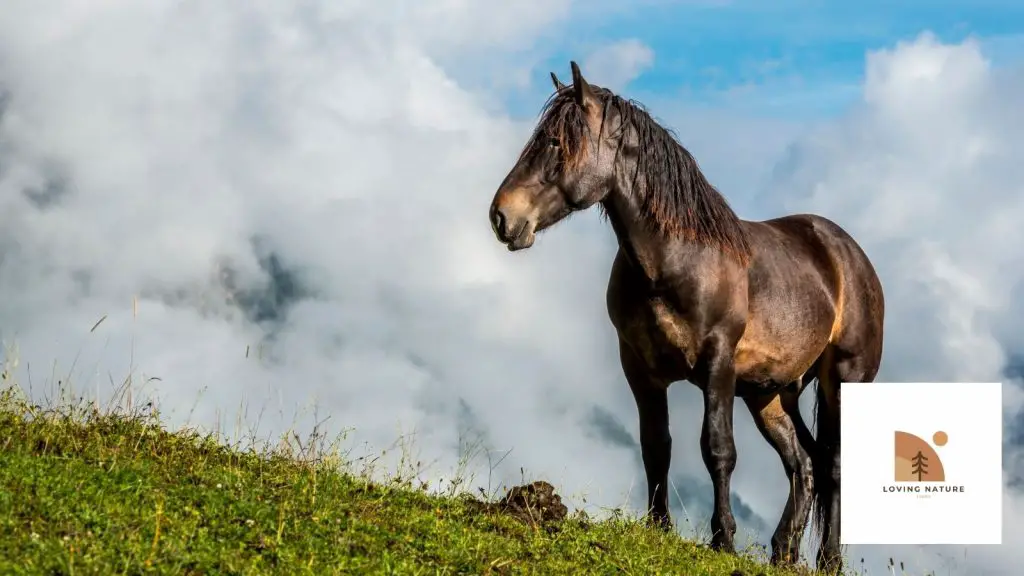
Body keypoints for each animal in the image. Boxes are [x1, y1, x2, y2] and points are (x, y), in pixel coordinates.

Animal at [483, 62, 884, 569]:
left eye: (556, 142)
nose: (501, 217)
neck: (674, 259)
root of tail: (848, 254)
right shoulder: (640, 369)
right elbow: (657, 446)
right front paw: (659, 528)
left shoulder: (718, 365)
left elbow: (717, 450)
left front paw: (723, 539)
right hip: (771, 394)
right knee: (803, 463)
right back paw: (783, 552)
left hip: (844, 380)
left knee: (832, 465)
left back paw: (828, 560)